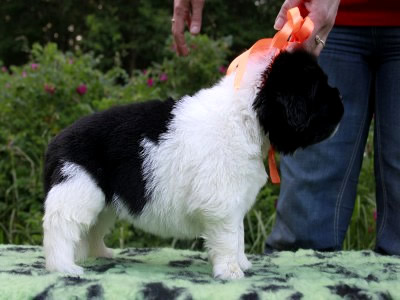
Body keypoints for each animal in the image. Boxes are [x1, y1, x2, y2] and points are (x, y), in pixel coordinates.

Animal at [43, 48, 344, 278]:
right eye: (317, 90)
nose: (342, 105)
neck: (245, 116)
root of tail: (57, 140)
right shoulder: (222, 202)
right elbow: (228, 236)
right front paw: (230, 271)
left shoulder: (235, 201)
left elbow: (238, 234)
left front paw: (242, 262)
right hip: (78, 189)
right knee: (60, 227)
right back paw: (64, 267)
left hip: (103, 203)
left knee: (91, 230)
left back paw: (100, 254)